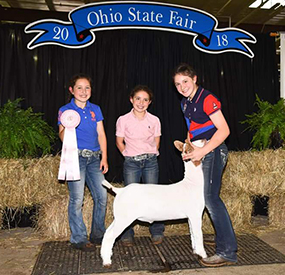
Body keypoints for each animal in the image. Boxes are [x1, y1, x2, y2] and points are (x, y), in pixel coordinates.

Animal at [100, 140, 206, 268]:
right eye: (194, 144)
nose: (204, 140)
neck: (192, 183)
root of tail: (120, 190)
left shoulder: (190, 216)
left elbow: (192, 234)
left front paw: (196, 251)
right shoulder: (196, 214)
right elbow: (198, 234)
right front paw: (203, 254)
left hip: (119, 217)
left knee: (107, 233)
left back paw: (106, 256)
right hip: (124, 219)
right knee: (110, 235)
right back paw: (107, 261)